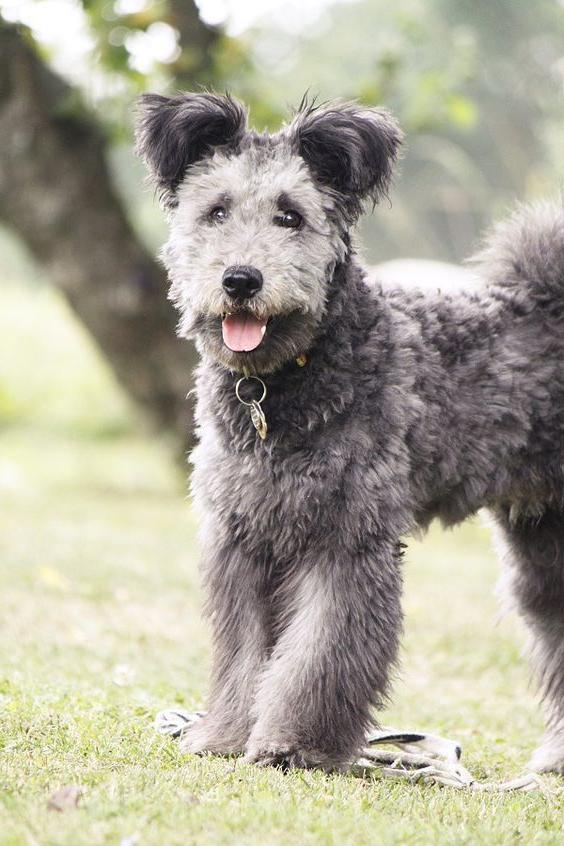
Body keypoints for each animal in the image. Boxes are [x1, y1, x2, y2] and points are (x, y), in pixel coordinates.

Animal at [135, 91, 564, 776]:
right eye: (216, 210)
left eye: (290, 216)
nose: (240, 280)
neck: (280, 388)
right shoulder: (244, 538)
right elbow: (243, 656)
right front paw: (225, 735)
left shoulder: (345, 539)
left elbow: (319, 653)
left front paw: (295, 745)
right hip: (543, 544)